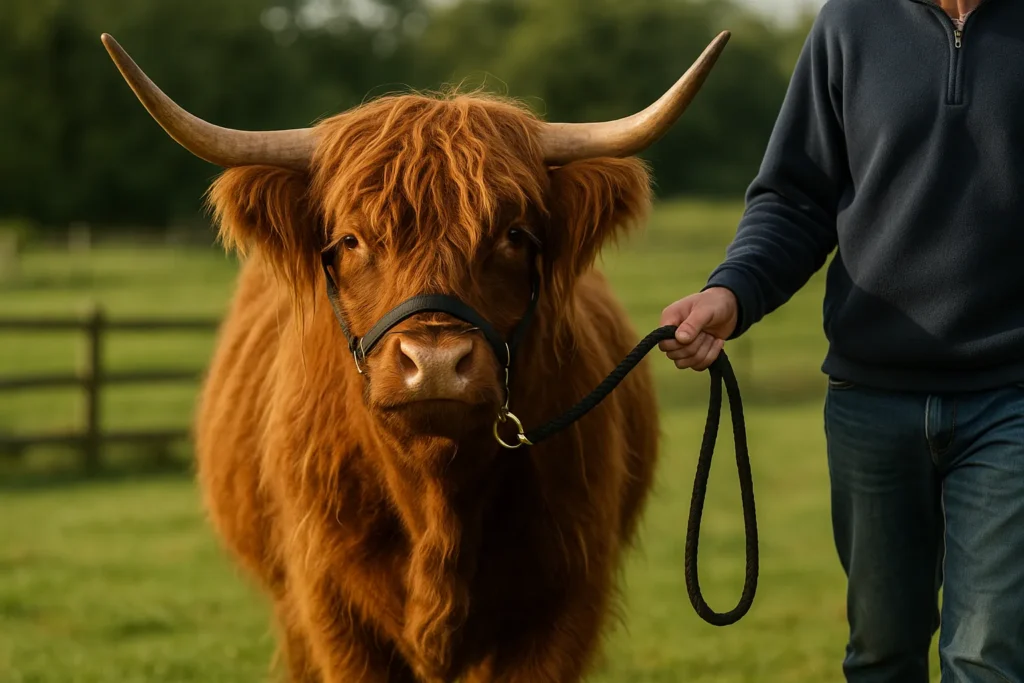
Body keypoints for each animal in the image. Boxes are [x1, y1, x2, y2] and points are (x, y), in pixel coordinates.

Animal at [102, 31, 729, 683]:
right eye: (351, 239)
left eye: (513, 234)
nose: (434, 362)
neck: (437, 495)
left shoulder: (564, 601)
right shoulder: (328, 607)